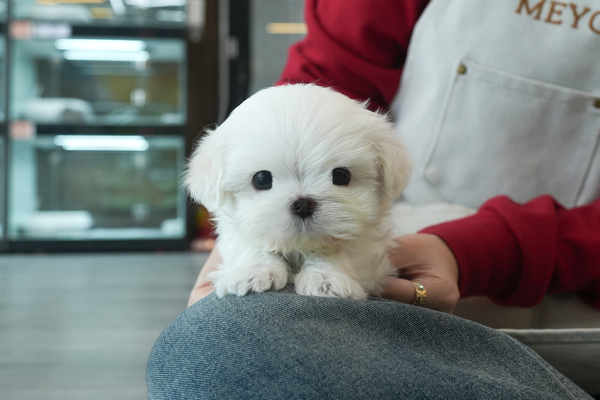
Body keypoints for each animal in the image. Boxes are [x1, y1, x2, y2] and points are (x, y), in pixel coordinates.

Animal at [185, 84, 412, 299]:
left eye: (341, 175)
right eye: (261, 179)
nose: (303, 204)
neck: (299, 246)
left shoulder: (367, 245)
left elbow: (340, 251)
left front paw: (326, 278)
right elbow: (251, 244)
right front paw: (254, 271)